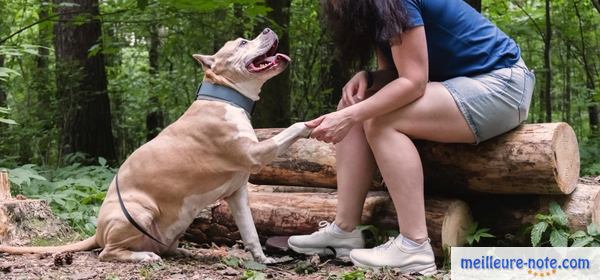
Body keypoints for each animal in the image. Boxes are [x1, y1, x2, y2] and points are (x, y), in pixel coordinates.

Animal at [0, 27, 310, 262]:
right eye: (243, 42)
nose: (268, 29)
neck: (225, 98)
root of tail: (98, 231)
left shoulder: (238, 194)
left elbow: (251, 234)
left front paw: (264, 260)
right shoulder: (257, 152)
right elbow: (293, 128)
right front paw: (312, 124)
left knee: (163, 248)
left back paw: (188, 252)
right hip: (139, 211)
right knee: (108, 252)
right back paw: (143, 257)